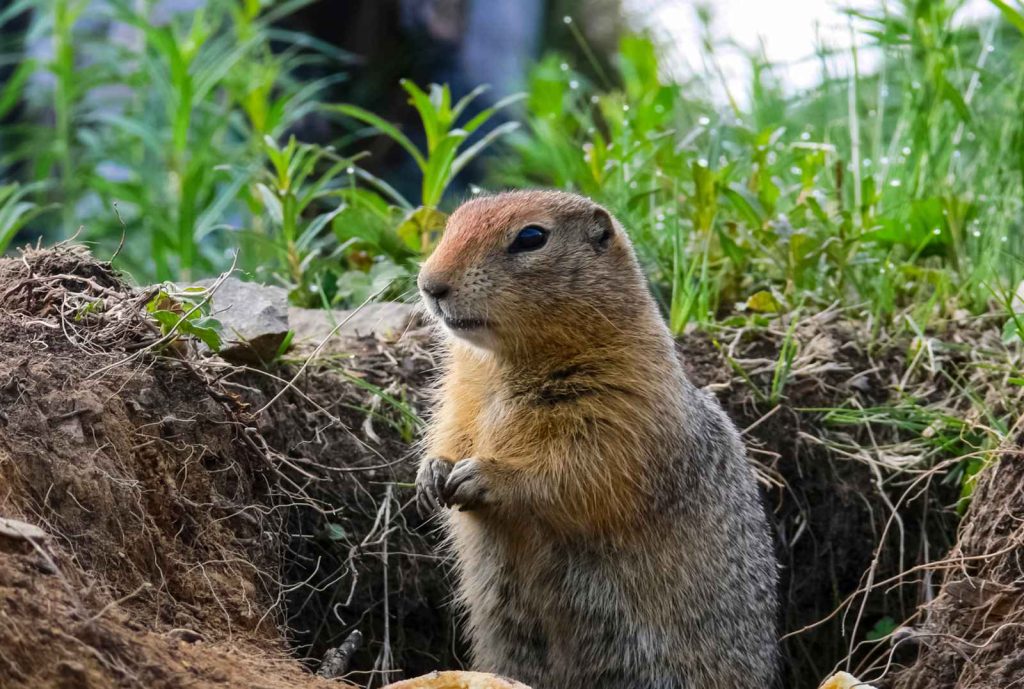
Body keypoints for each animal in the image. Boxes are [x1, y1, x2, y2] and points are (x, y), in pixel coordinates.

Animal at [415, 190, 778, 689]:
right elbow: (452, 428)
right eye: (451, 224)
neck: (506, 364)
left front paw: (484, 476)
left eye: (532, 237)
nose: (430, 284)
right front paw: (433, 471)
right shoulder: (461, 393)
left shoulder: (627, 402)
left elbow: (583, 468)